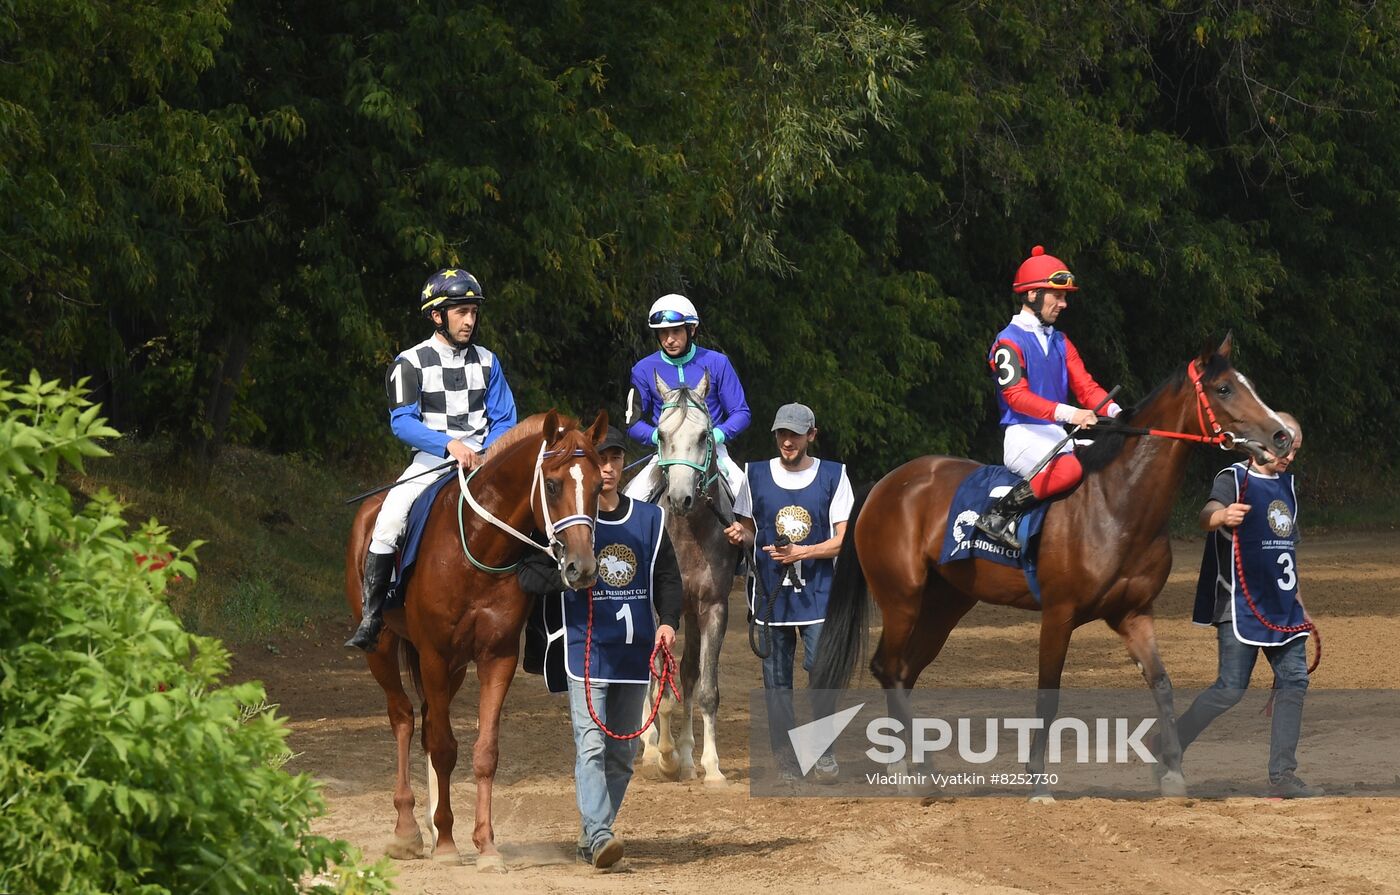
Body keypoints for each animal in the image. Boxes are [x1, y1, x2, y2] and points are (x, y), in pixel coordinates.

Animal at [345, 411, 607, 868]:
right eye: (553, 485)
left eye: (595, 487)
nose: (582, 567)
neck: (481, 545)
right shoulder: (433, 653)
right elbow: (445, 747)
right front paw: (449, 845)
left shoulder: (494, 657)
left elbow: (484, 752)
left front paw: (485, 846)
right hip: (383, 649)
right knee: (403, 718)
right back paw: (408, 830)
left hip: (452, 668)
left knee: (427, 722)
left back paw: (432, 825)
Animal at [638, 369, 744, 784]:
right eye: (660, 434)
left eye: (703, 436)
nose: (681, 498)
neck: (687, 535)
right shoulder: (657, 610)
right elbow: (659, 687)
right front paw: (661, 755)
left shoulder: (713, 608)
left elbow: (704, 687)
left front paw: (709, 765)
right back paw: (651, 746)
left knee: (686, 673)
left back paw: (685, 754)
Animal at [817, 338, 1293, 801]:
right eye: (1224, 388)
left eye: (1246, 385)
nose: (1282, 435)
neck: (1117, 502)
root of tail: (887, 483)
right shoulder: (1059, 613)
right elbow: (1049, 695)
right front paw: (1038, 782)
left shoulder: (1134, 613)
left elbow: (1162, 683)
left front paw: (1173, 771)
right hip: (901, 599)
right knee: (887, 666)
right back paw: (915, 773)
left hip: (945, 605)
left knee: (904, 671)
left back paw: (910, 766)